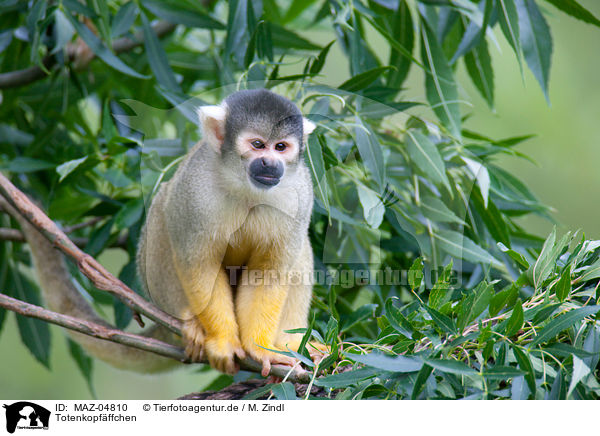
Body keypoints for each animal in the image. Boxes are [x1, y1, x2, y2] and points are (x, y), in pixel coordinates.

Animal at [138, 88, 322, 374]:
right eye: (257, 144)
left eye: (281, 147)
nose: (270, 163)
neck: (246, 188)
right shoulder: (195, 191)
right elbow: (200, 264)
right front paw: (223, 340)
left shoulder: (300, 195)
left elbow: (267, 271)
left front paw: (261, 349)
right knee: (163, 212)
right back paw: (190, 322)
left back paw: (291, 341)